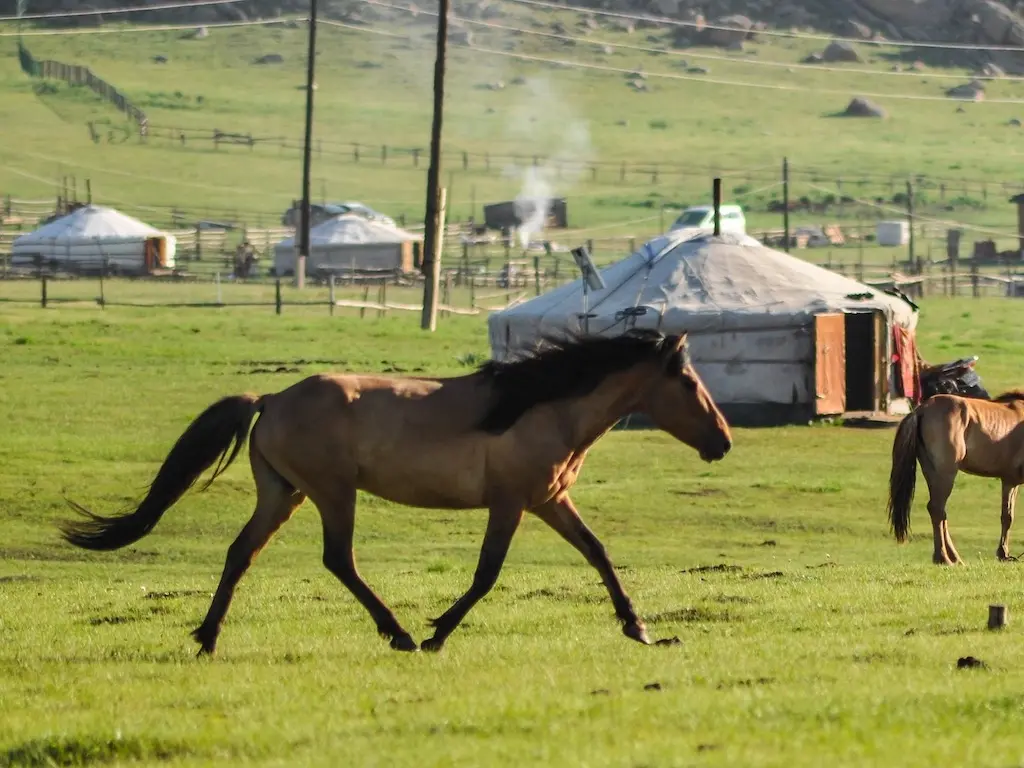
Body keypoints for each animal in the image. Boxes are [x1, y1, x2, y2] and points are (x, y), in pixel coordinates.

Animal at [60, 330, 733, 655]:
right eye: (689, 382)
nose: (723, 441)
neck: (540, 408)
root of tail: (272, 399)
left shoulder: (548, 502)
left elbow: (597, 552)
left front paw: (639, 628)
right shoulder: (512, 504)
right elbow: (487, 575)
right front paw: (436, 634)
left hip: (284, 494)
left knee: (240, 554)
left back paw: (207, 638)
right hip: (333, 493)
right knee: (339, 559)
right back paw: (399, 633)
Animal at [887, 391, 1024, 565]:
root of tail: (920, 410)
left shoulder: (1010, 481)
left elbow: (1007, 516)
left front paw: (1003, 554)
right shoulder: (1010, 481)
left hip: (932, 472)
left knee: (940, 512)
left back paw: (953, 557)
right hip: (946, 474)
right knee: (937, 509)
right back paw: (944, 558)